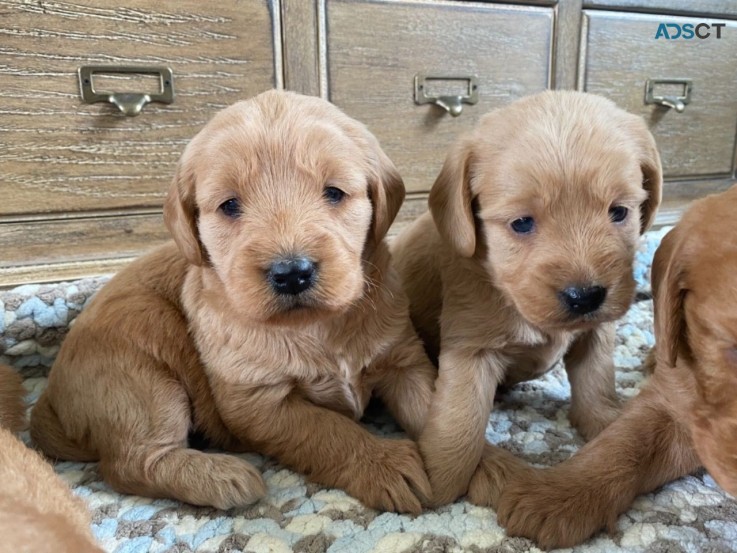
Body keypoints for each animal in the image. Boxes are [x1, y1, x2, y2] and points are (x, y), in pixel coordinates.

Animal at [31, 90, 436, 512]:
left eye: (334, 193)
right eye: (229, 205)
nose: (292, 272)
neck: (315, 327)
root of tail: (50, 398)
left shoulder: (404, 357)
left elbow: (441, 409)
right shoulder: (257, 402)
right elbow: (329, 430)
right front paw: (383, 462)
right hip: (140, 367)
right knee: (130, 463)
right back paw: (224, 477)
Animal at [394, 90, 664, 504]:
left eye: (619, 212)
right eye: (521, 223)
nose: (585, 296)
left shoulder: (596, 333)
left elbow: (597, 381)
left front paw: (607, 427)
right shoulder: (470, 348)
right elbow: (459, 422)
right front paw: (438, 480)